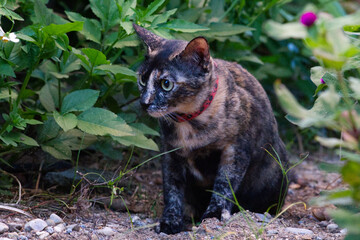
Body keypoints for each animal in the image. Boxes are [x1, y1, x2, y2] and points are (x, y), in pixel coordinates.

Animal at [133, 23, 290, 233]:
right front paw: (170, 220)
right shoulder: (170, 153)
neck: (189, 123)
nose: (144, 102)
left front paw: (213, 215)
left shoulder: (236, 149)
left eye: (166, 84)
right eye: (142, 80)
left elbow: (225, 184)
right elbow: (172, 188)